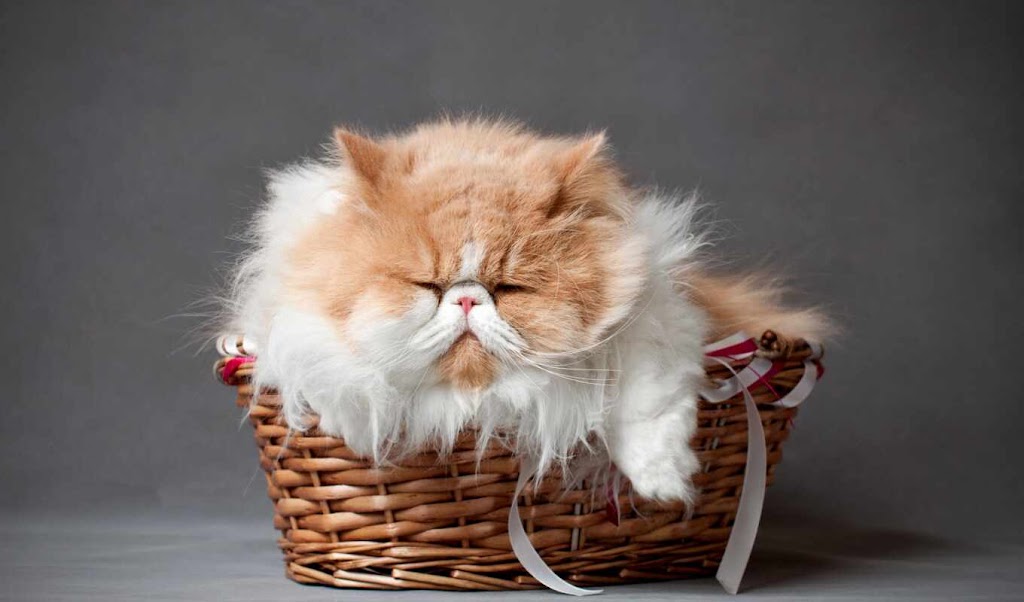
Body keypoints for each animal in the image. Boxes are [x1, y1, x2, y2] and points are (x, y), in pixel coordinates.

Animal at [226, 118, 829, 503]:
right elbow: (344, 380)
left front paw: (663, 485)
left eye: (510, 288)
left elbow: (645, 405)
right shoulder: (298, 329)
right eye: (429, 285)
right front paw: (355, 430)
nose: (468, 298)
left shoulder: (658, 319)